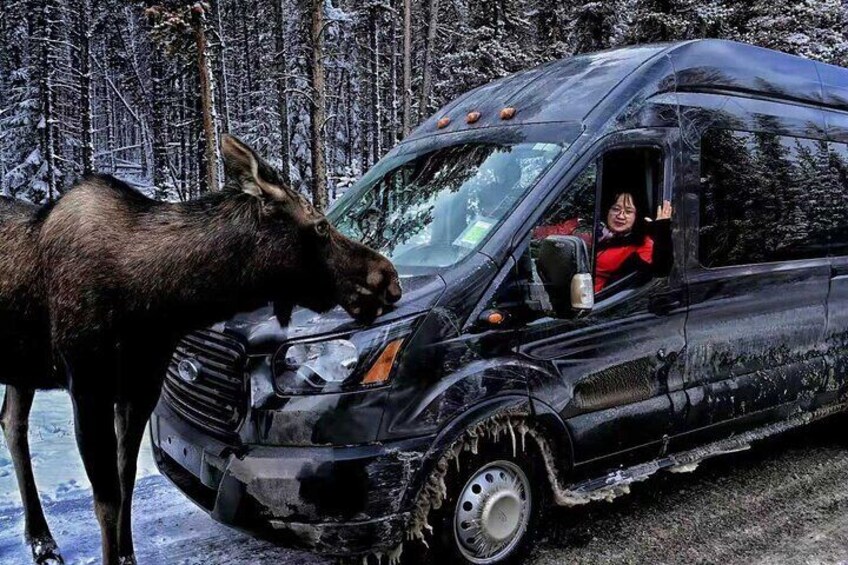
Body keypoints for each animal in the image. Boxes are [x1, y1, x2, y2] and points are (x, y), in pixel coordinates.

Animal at [0, 135, 401, 565]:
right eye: (321, 225)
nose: (389, 277)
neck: (159, 303)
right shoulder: (89, 387)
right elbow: (107, 499)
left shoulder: (141, 387)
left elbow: (126, 484)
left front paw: (128, 556)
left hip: (21, 369)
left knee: (12, 422)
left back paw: (42, 540)